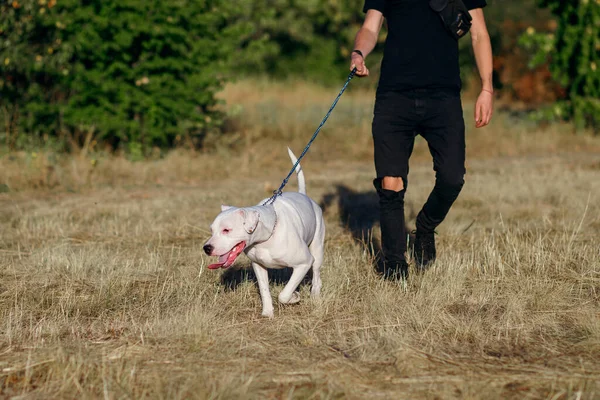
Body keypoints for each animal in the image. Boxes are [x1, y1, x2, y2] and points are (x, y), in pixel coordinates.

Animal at [203, 148, 326, 318]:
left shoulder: (305, 262)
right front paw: (268, 312)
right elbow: (264, 290)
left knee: (316, 275)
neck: (266, 238)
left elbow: (283, 294)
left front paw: (294, 297)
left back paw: (314, 296)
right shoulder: (258, 266)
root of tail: (304, 196)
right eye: (212, 230)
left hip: (317, 250)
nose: (206, 248)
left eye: (226, 230)